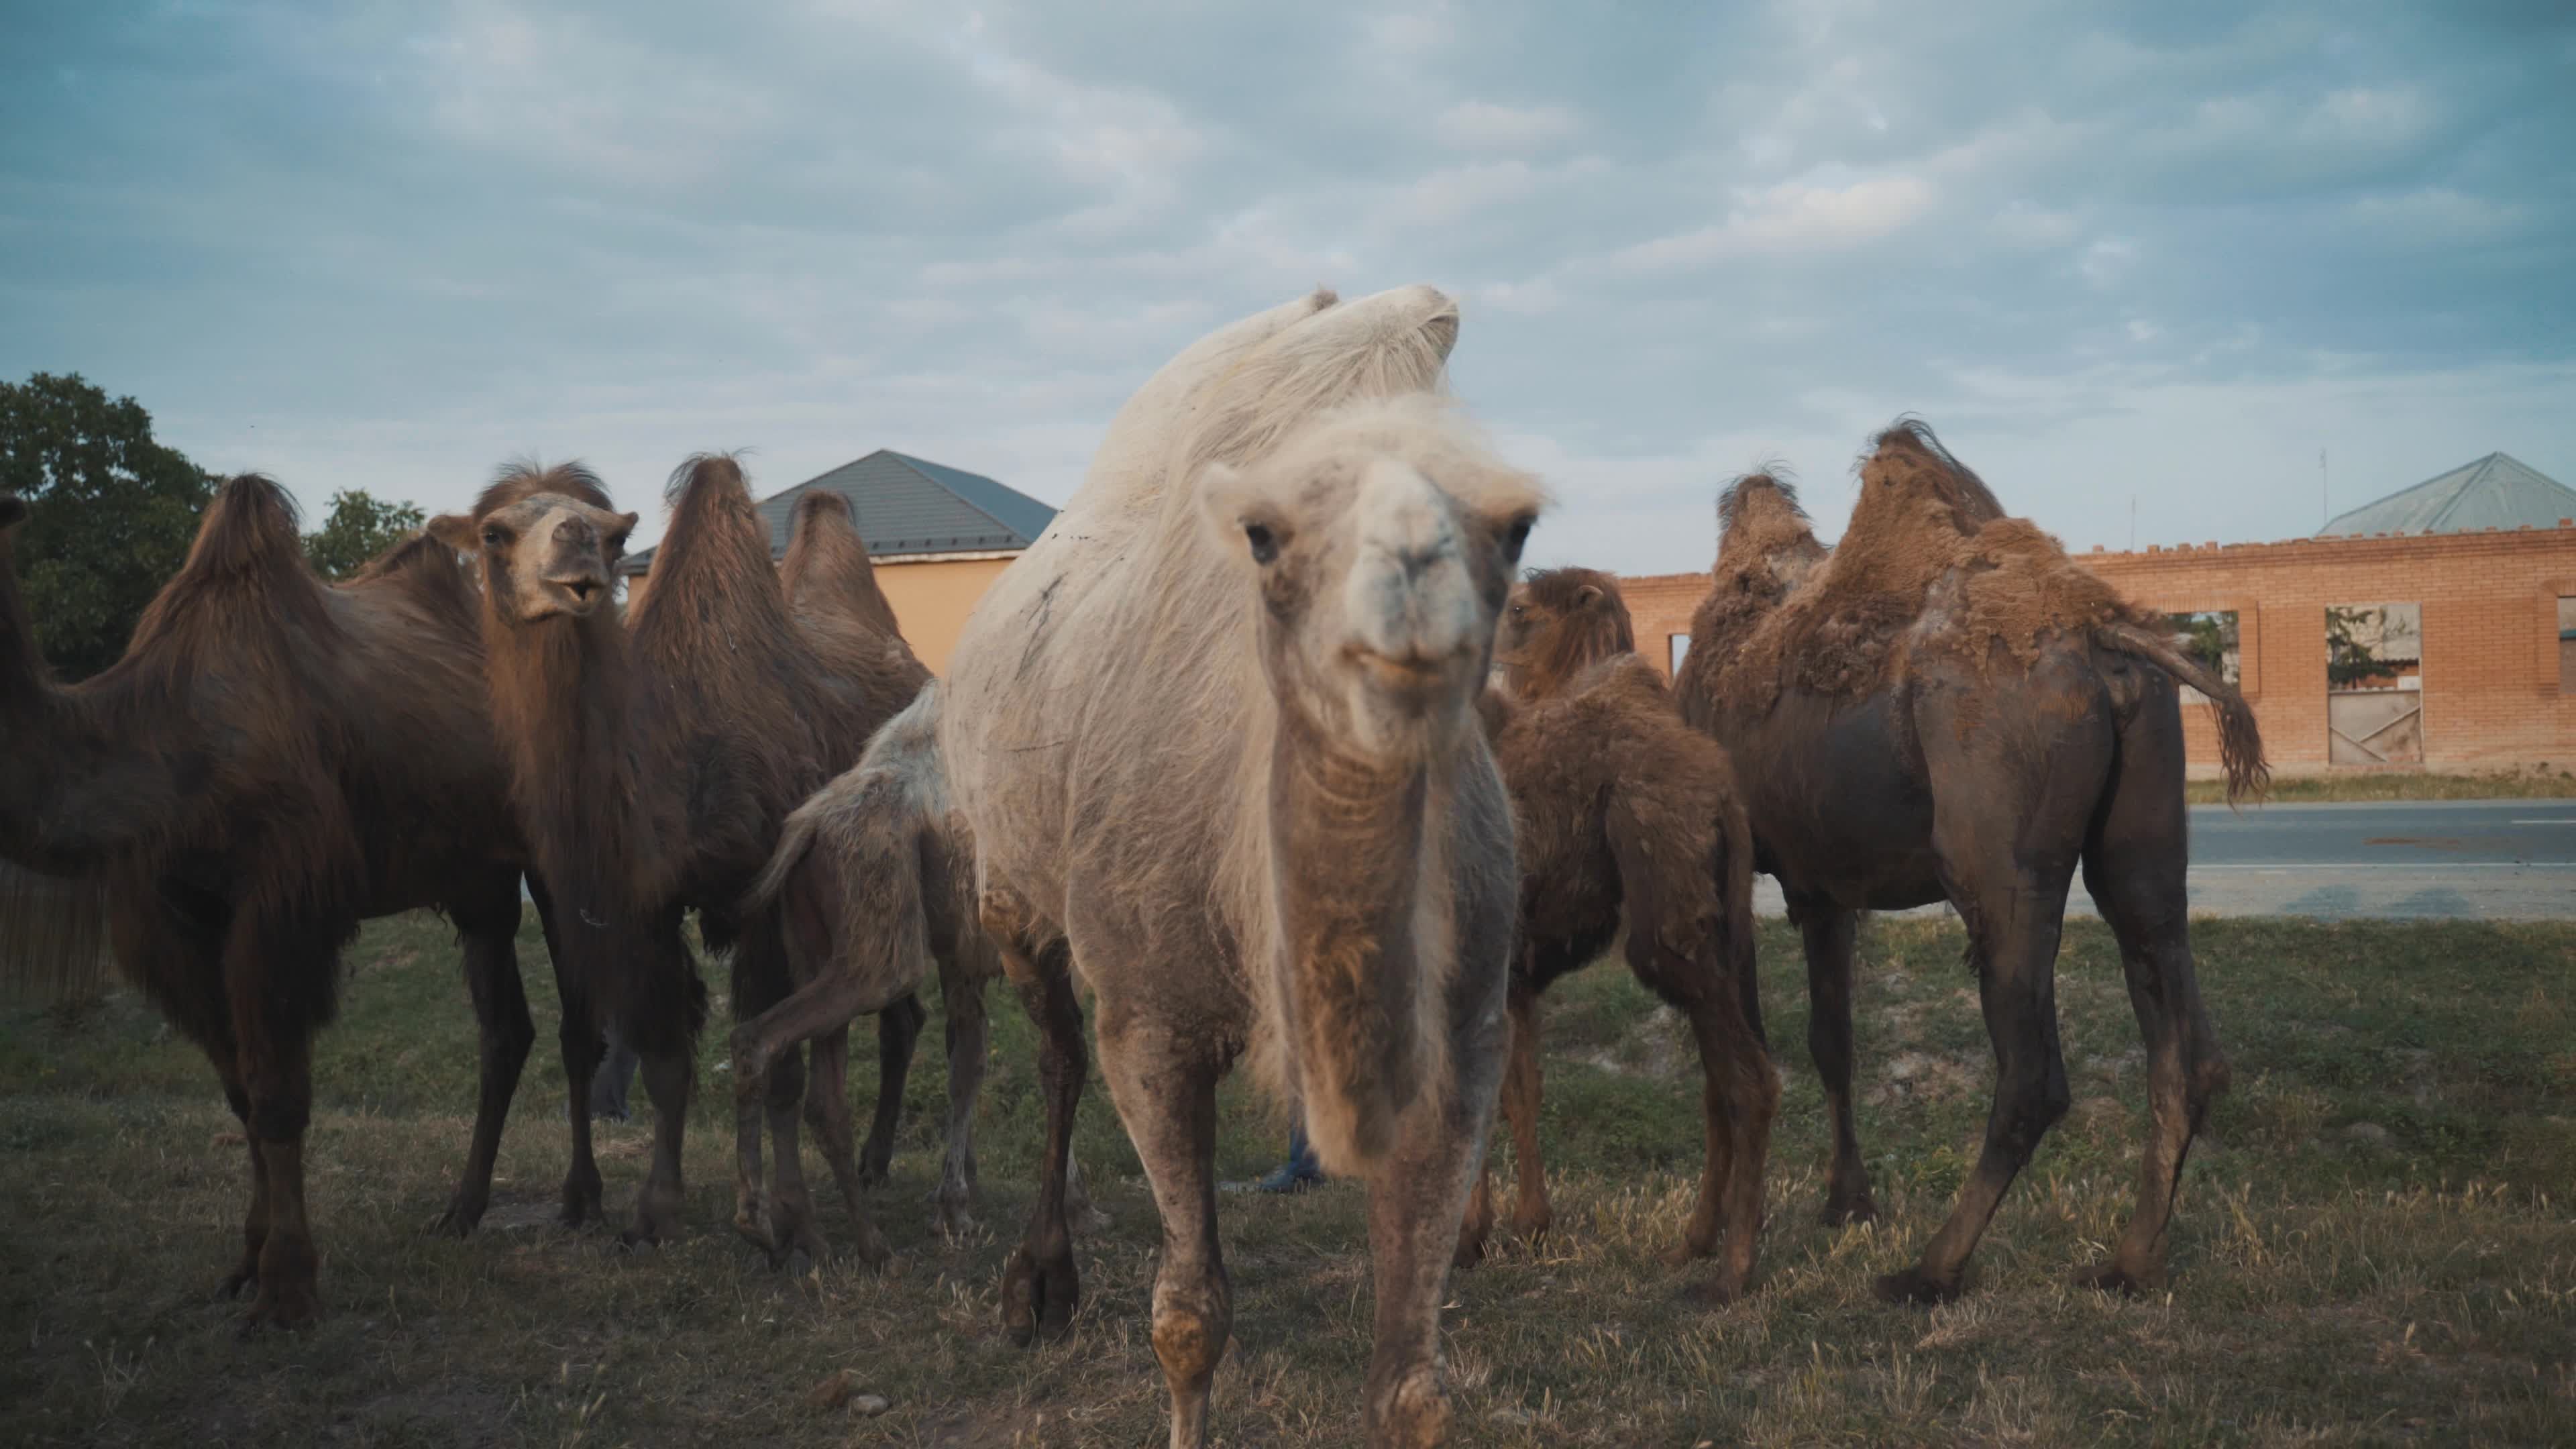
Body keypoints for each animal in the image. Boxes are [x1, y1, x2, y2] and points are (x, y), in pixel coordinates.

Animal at [0, 480, 605, 1329]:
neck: (165, 742)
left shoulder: (280, 905)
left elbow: (280, 1097)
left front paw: (286, 1292)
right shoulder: (176, 923)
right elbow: (241, 1096)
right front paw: (244, 1265)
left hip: (553, 847)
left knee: (578, 1026)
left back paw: (583, 1201)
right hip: (477, 879)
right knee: (504, 1031)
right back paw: (461, 1210)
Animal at [940, 285, 1543, 1449]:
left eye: (1516, 526)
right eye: (1266, 533)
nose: (1408, 599)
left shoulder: (1462, 1042)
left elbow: (1411, 1388)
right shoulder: (1152, 1025)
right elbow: (1188, 1316)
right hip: (1007, 891)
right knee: (1056, 1055)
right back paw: (1037, 1282)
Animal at [1452, 568, 1775, 1305]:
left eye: (1519, 607)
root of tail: (1725, 798)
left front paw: (1471, 1238)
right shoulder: (1516, 974)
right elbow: (1521, 1091)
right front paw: (1529, 1225)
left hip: (1667, 923)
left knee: (1750, 1081)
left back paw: (1731, 1272)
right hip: (1728, 930)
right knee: (1720, 1080)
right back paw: (1692, 1242)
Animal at [1672, 424, 2266, 1304]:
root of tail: (2109, 640)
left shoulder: (1737, 869)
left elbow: (1738, 1056)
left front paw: (1721, 1240)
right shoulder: (1822, 885)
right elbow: (1831, 1040)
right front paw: (1848, 1203)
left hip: (1996, 868)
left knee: (2032, 1076)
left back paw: (1932, 1268)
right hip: (2143, 842)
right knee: (2184, 1035)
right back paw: (2127, 1262)